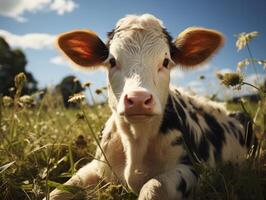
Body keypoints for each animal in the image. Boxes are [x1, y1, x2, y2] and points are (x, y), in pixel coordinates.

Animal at [47, 13, 254, 198]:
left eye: (166, 61)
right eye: (112, 61)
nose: (138, 99)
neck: (136, 143)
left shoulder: (192, 168)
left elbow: (154, 188)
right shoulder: (97, 166)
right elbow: (59, 191)